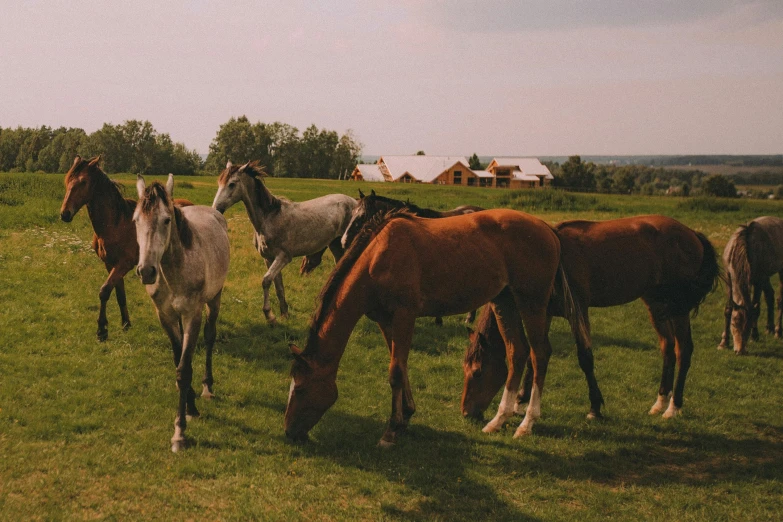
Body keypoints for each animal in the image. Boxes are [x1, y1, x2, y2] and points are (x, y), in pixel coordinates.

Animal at [59, 154, 191, 342]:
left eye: (83, 182)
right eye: (67, 180)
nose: (65, 214)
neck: (116, 223)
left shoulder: (124, 264)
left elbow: (104, 291)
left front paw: (102, 329)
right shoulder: (111, 264)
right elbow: (119, 294)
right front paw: (126, 324)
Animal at [132, 175, 227, 450]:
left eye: (166, 220)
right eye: (135, 220)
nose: (146, 271)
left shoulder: (192, 314)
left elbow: (184, 370)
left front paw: (180, 432)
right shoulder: (165, 316)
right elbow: (179, 361)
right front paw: (189, 406)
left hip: (214, 299)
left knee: (210, 336)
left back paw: (207, 387)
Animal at [210, 160, 354, 322]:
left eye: (232, 184)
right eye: (219, 183)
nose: (216, 209)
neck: (269, 217)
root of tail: (355, 202)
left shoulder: (283, 257)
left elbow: (266, 280)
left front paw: (269, 315)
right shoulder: (269, 258)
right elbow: (278, 286)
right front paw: (284, 313)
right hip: (335, 244)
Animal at [284, 207, 588, 442]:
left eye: (300, 389)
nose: (289, 432)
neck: (377, 258)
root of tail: (547, 228)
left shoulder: (404, 316)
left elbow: (396, 371)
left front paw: (391, 430)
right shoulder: (385, 320)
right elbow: (401, 365)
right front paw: (405, 416)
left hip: (531, 302)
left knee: (539, 354)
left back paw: (526, 424)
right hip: (506, 302)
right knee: (517, 353)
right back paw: (498, 420)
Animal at [462, 215, 720, 422]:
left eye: (478, 372)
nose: (466, 413)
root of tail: (691, 233)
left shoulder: (578, 312)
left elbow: (585, 358)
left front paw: (595, 407)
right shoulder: (544, 312)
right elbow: (533, 358)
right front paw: (520, 402)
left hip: (678, 308)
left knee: (683, 350)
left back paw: (673, 407)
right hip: (656, 303)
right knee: (667, 348)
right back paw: (660, 402)